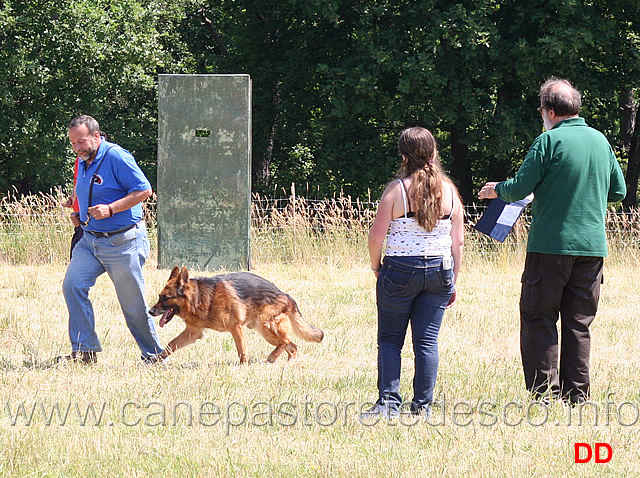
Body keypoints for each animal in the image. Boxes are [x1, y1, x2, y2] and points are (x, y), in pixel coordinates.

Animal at [150, 268, 324, 364]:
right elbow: (171, 344)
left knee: (286, 341)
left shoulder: (235, 328)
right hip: (267, 332)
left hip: (266, 327)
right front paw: (156, 358)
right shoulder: (193, 332)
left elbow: (242, 350)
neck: (199, 298)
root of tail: (285, 295)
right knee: (292, 346)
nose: (150, 312)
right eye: (159, 296)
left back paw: (272, 358)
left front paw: (243, 366)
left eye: (165, 298)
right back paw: (287, 363)